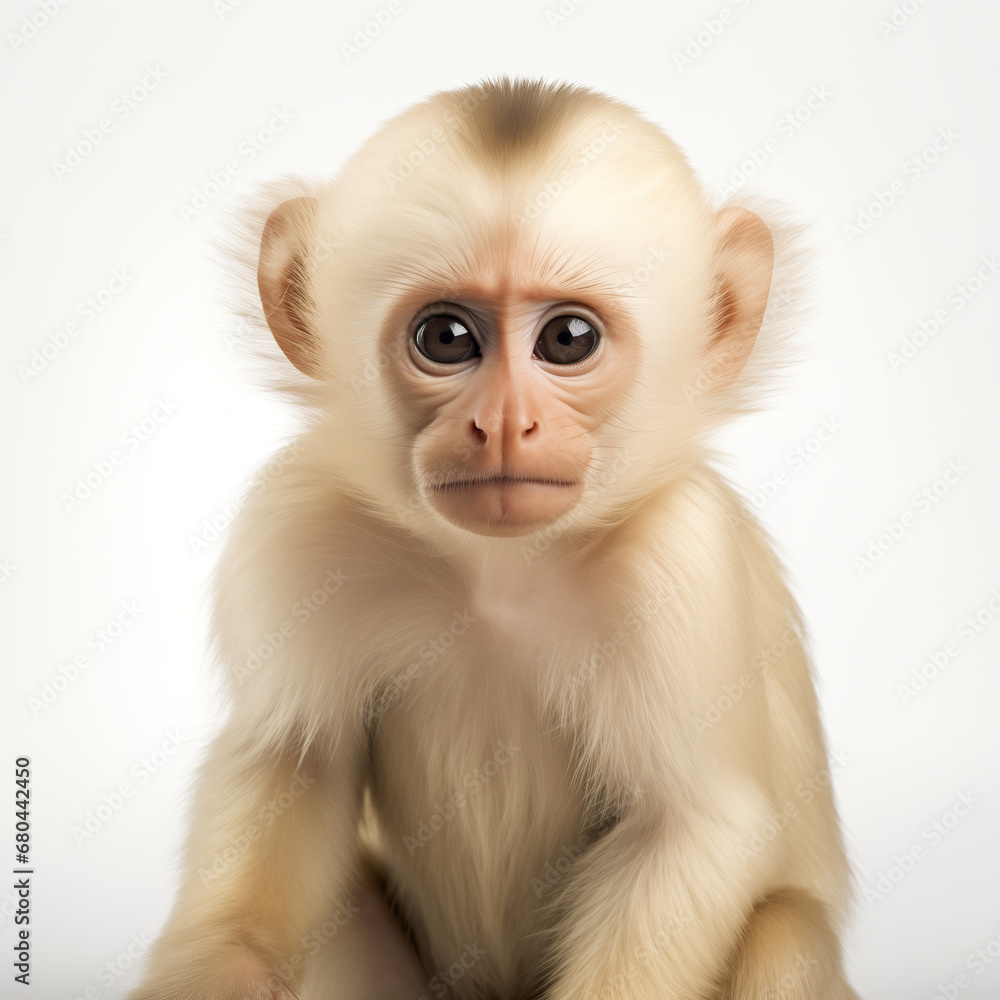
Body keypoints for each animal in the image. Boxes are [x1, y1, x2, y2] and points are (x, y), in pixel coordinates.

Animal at [127, 78, 861, 1000]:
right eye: (446, 337)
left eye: (569, 339)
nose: (505, 425)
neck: (498, 574)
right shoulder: (298, 524)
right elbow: (294, 763)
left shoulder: (683, 557)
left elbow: (690, 827)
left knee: (782, 932)